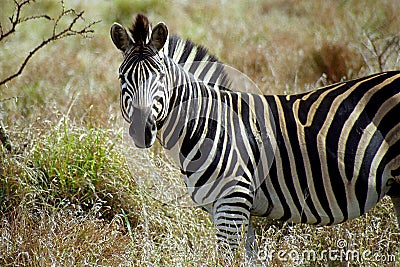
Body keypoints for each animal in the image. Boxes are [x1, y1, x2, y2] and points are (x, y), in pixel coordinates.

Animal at [111, 14, 400, 255]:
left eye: (159, 76)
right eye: (122, 77)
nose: (141, 130)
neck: (205, 125)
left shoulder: (233, 200)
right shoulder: (234, 208)